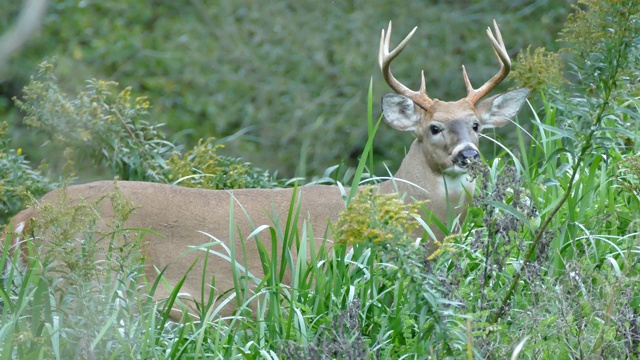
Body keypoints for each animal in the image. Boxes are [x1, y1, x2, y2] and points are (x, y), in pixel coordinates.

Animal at [2, 20, 528, 318]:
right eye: (434, 127)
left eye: (476, 125)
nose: (468, 155)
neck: (392, 209)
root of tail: (23, 220)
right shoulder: (317, 276)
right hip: (94, 274)